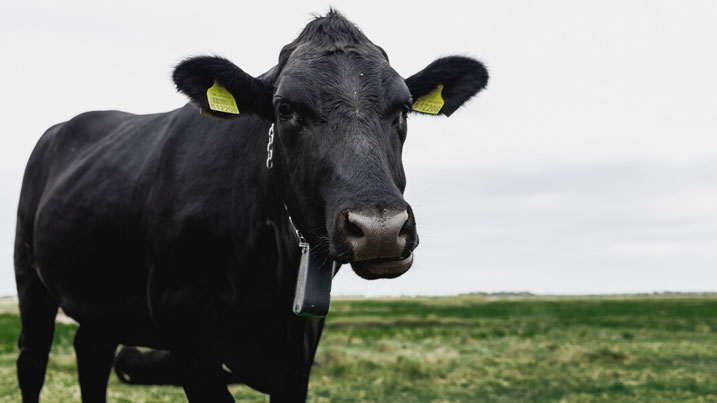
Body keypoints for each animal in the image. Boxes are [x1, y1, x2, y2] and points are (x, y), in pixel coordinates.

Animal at [14, 10, 486, 403]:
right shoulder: (185, 331)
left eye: (403, 109)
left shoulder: (298, 353)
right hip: (30, 277)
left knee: (90, 352)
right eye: (285, 108)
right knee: (31, 362)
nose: (380, 229)